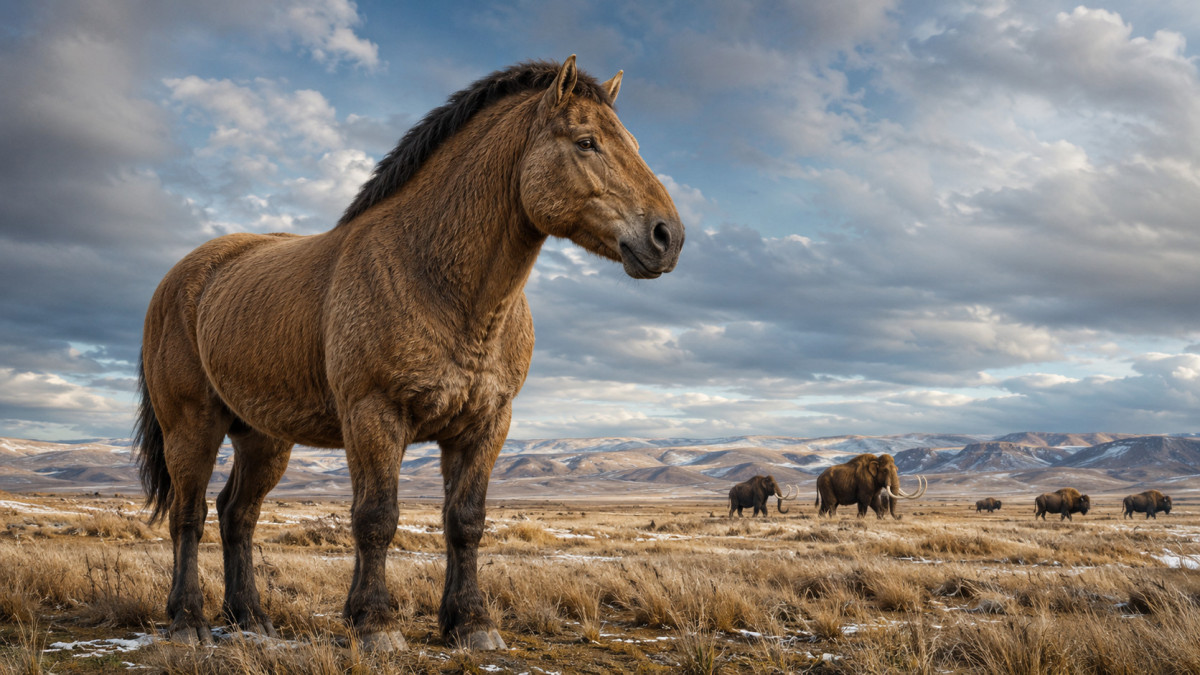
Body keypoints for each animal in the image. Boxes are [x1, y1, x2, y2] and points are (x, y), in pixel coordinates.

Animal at [134, 56, 683, 652]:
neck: (432, 278)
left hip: (263, 438)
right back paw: (187, 621)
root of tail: (179, 278)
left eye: (632, 143)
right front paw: (375, 624)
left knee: (238, 515)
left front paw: (471, 623)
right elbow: (376, 518)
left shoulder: (485, 425)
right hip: (193, 426)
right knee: (188, 516)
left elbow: (465, 522)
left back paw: (251, 619)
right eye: (586, 142)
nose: (667, 237)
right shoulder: (374, 416)